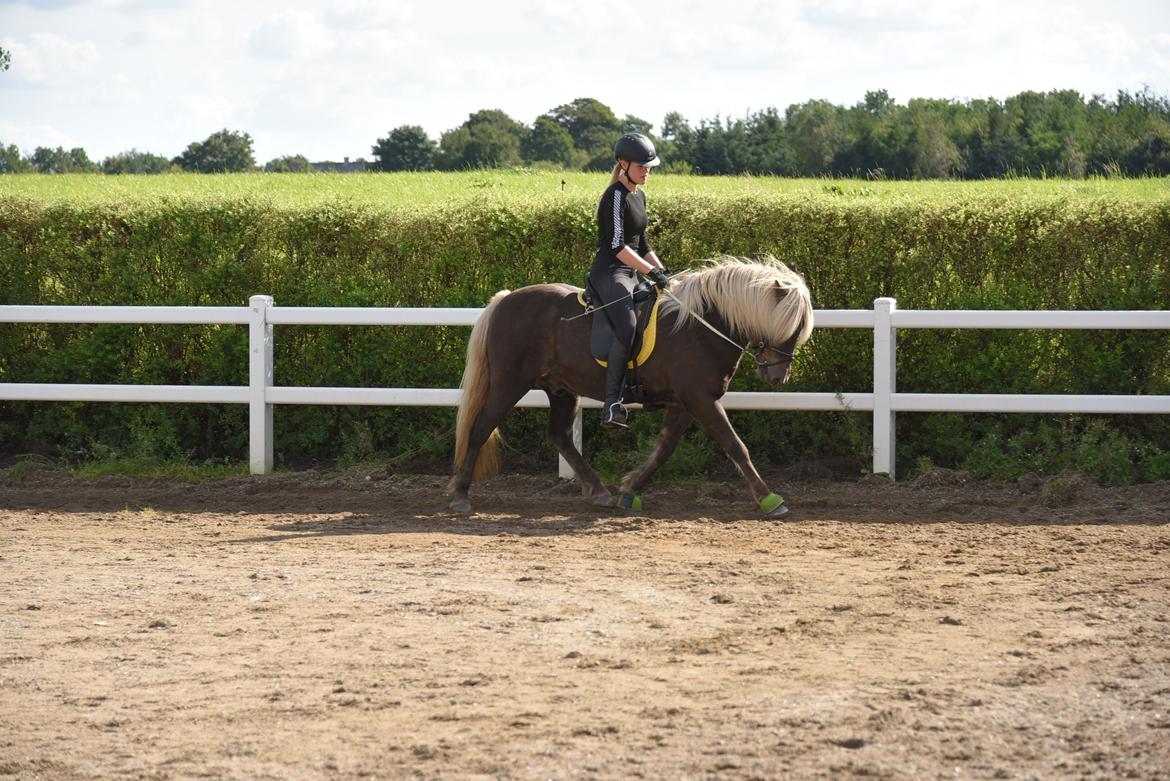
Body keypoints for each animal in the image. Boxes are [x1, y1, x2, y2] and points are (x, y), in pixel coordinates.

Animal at [446, 253, 814, 514]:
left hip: (561, 388)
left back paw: (600, 491)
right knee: (480, 428)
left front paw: (629, 491)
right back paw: (461, 496)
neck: (699, 326)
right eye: (789, 324)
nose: (778, 374)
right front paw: (769, 499)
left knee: (560, 436)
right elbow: (735, 445)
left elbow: (664, 449)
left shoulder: (685, 402)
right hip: (509, 383)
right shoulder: (700, 399)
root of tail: (505, 300)